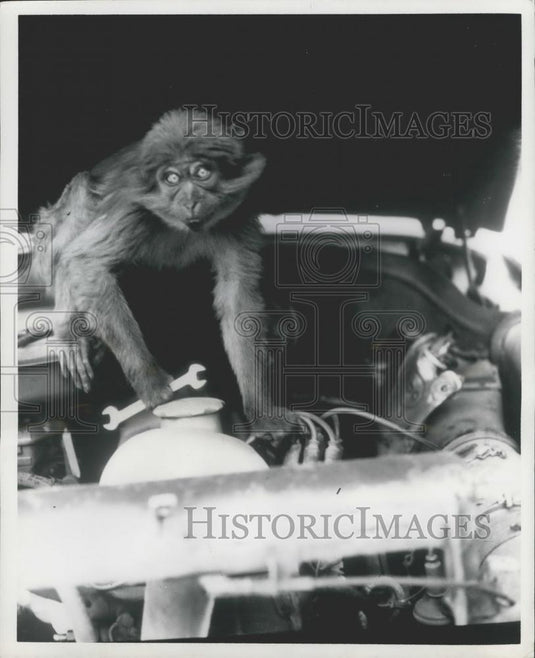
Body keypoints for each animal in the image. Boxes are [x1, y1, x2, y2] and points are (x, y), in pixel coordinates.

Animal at [29, 108, 294, 437]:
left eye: (202, 173)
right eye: (171, 178)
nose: (190, 201)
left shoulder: (237, 214)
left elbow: (238, 301)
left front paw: (261, 411)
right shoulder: (133, 207)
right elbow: (85, 262)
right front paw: (152, 384)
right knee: (80, 194)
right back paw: (69, 330)